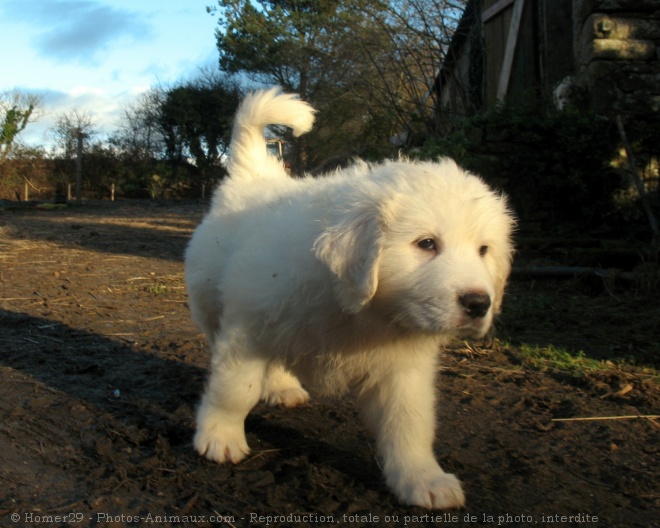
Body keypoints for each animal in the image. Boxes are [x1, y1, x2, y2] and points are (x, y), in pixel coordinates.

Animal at [186, 88, 516, 510]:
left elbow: (409, 424)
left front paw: (422, 478)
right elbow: (235, 389)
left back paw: (282, 386)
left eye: (484, 250)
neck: (362, 309)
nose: (479, 304)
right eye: (426, 244)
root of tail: (254, 176)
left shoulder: (402, 371)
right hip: (213, 302)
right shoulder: (249, 327)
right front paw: (221, 436)